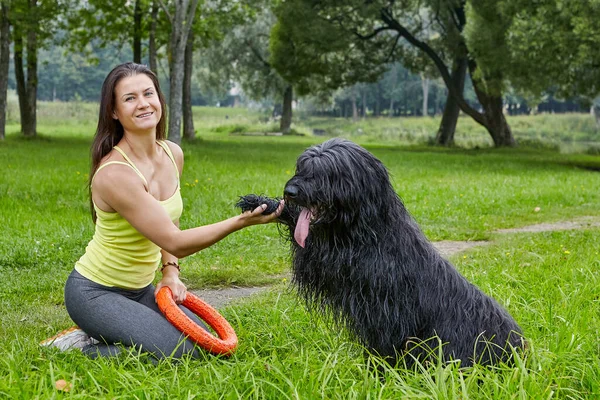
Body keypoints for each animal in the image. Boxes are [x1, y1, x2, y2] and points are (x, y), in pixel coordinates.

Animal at [237, 138, 524, 368]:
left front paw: (380, 370)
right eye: (302, 168)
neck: (364, 228)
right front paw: (263, 203)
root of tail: (519, 349)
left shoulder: (365, 284)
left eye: (325, 173)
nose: (290, 192)